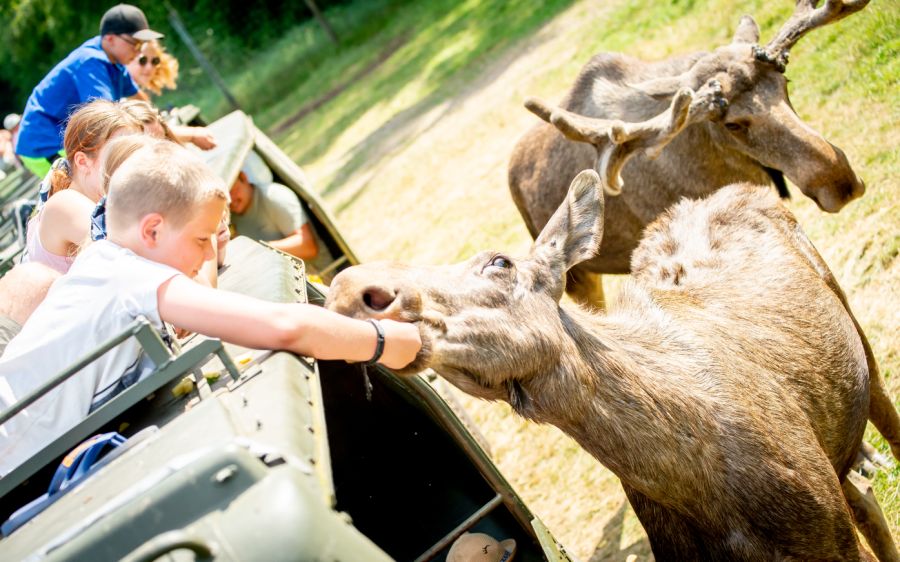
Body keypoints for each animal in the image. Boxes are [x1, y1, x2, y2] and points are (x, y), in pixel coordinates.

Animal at [326, 168, 896, 556]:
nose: (349, 289)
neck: (700, 493)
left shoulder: (831, 543)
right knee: (863, 493)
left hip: (858, 338)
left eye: (499, 261)